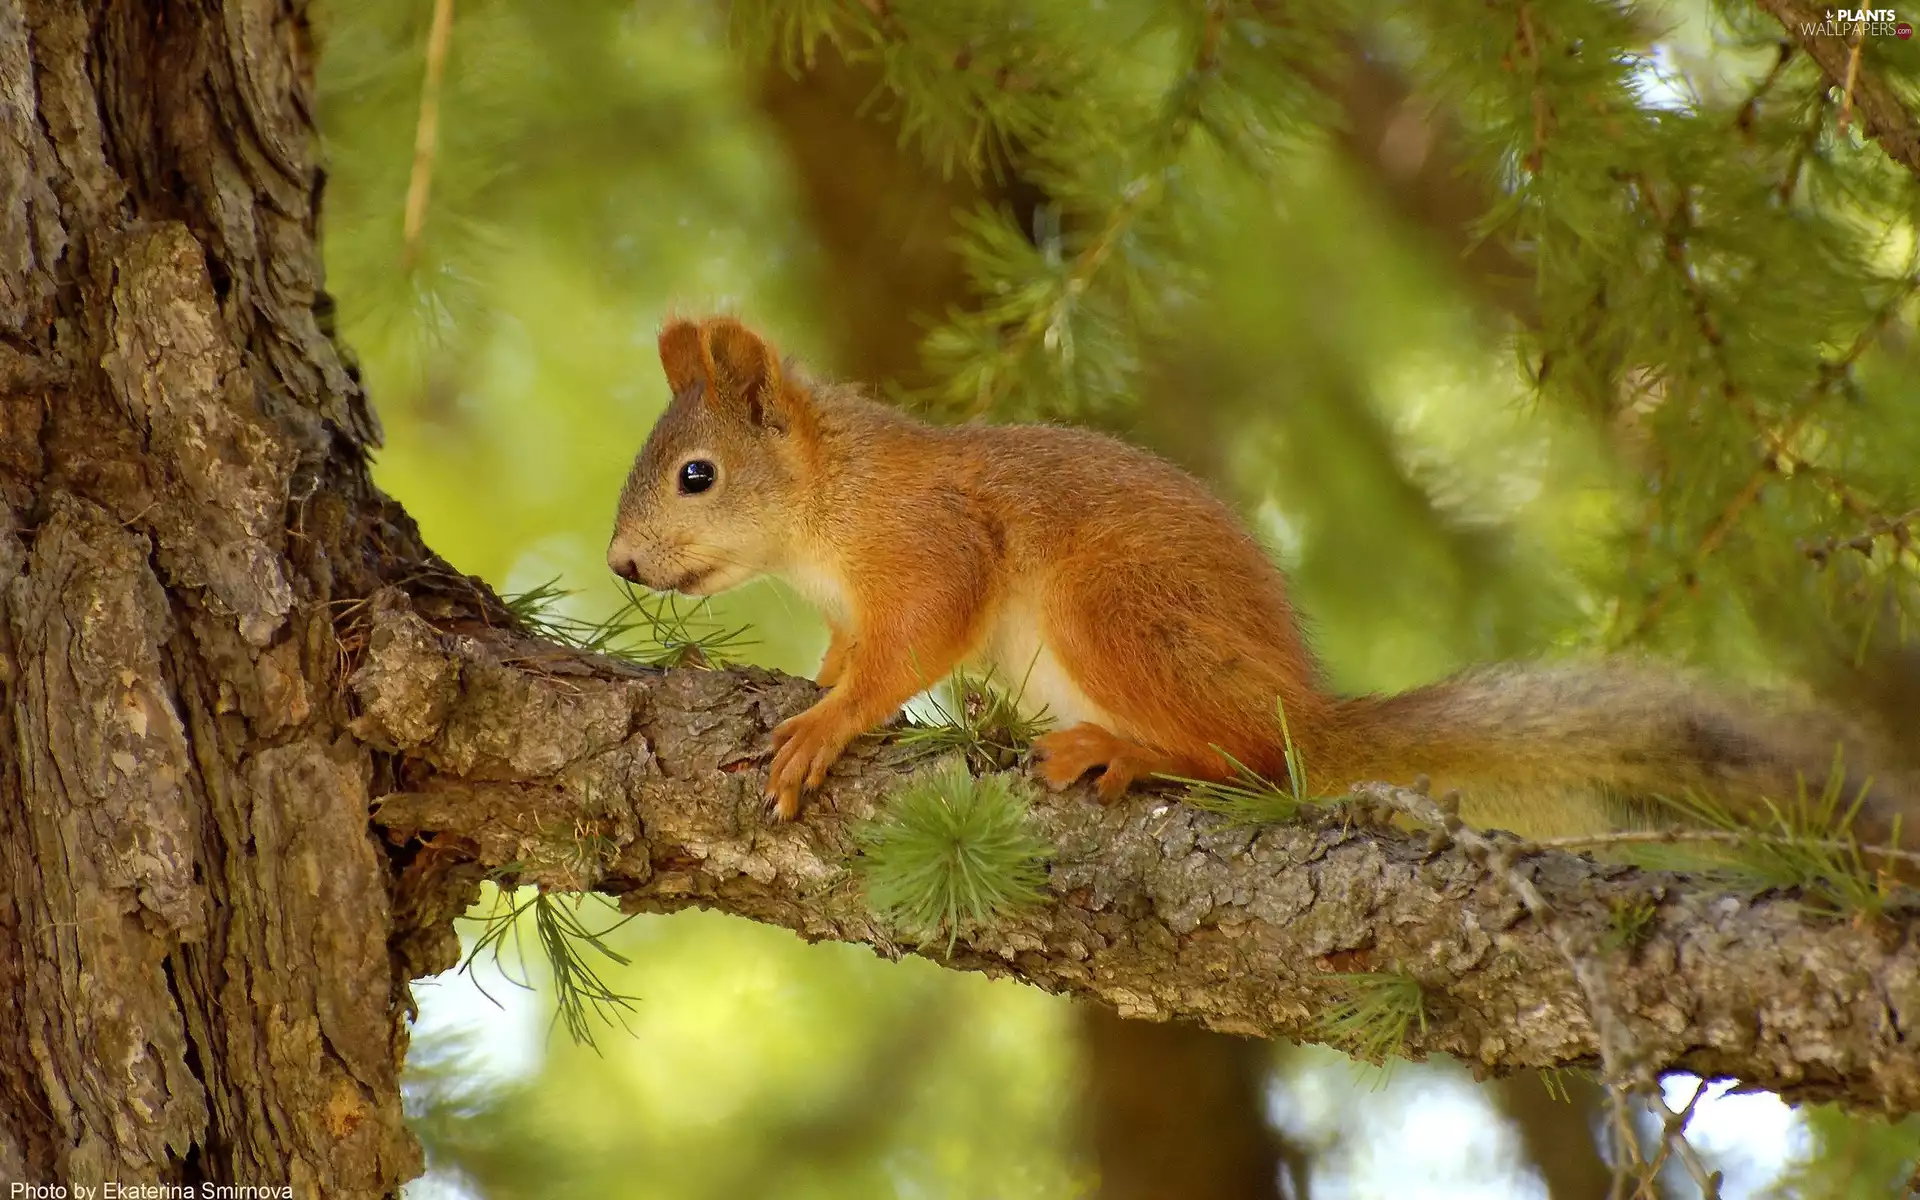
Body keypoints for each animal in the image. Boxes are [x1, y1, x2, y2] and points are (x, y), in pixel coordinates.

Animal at [607, 315, 1916, 848]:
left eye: (695, 476)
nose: (619, 562)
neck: (829, 509)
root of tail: (1306, 708)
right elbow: (852, 651)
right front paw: (813, 686)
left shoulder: (934, 543)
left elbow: (908, 650)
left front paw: (825, 725)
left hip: (1115, 613)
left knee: (1247, 759)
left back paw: (1128, 753)